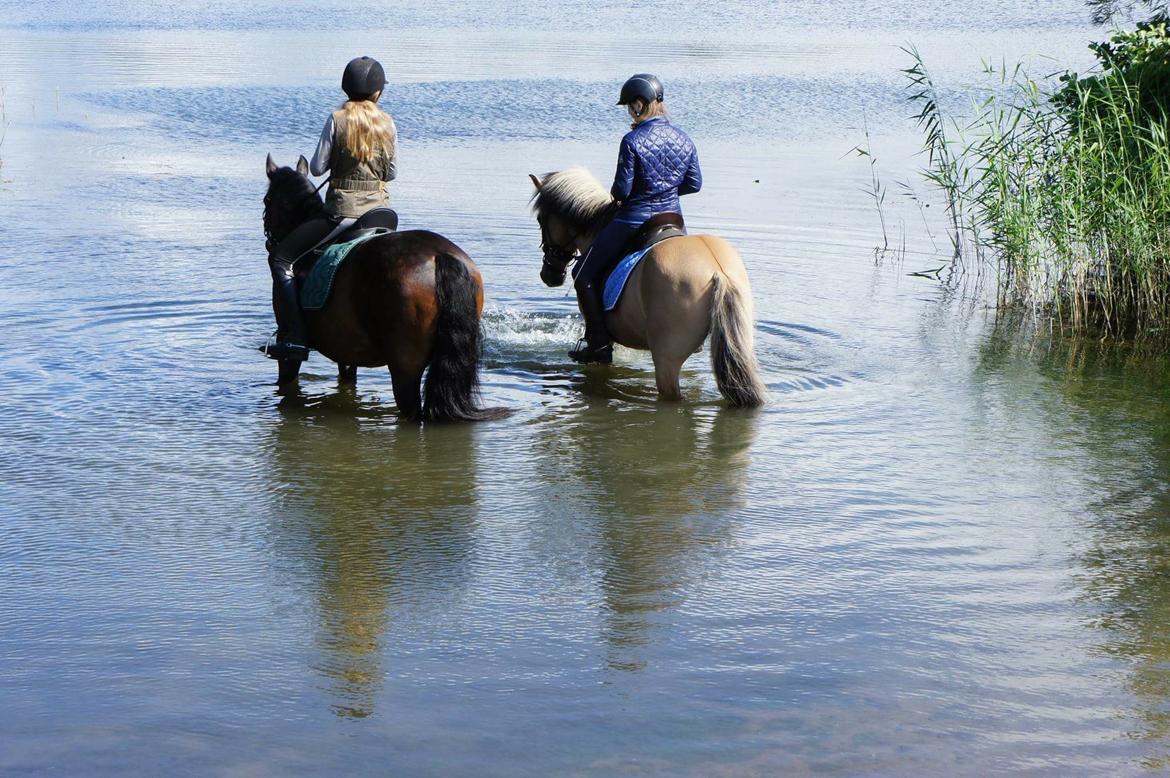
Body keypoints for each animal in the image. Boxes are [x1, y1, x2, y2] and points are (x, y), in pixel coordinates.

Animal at [263, 154, 496, 421]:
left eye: (267, 200)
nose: (270, 242)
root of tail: (440, 255)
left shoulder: (287, 343)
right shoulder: (347, 349)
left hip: (405, 368)